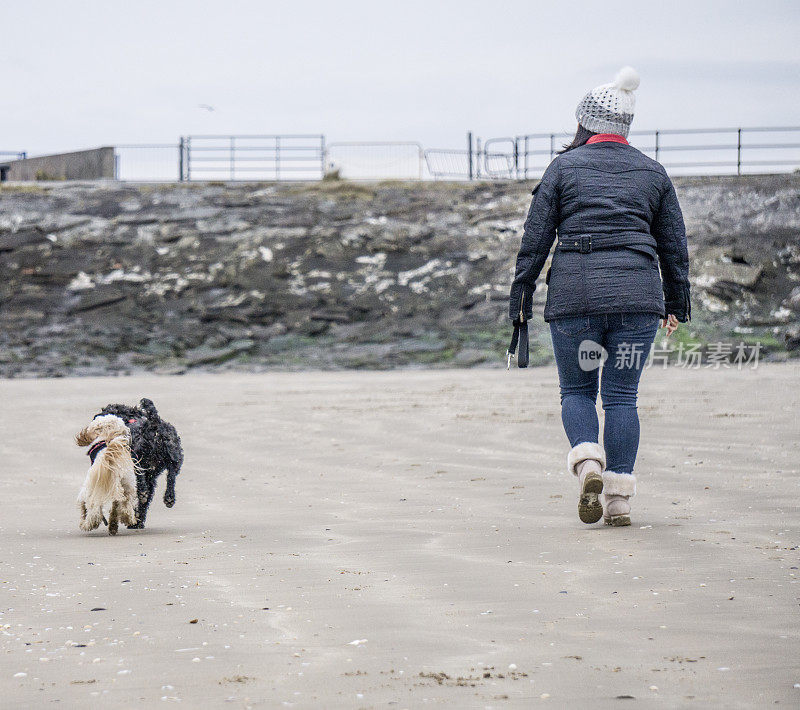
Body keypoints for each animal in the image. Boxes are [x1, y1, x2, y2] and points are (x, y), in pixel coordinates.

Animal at [97, 400, 184, 528]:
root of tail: (154, 425)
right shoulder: (151, 477)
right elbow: (147, 498)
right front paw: (139, 520)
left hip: (138, 456)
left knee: (141, 477)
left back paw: (144, 492)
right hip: (174, 456)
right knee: (171, 476)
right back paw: (169, 497)